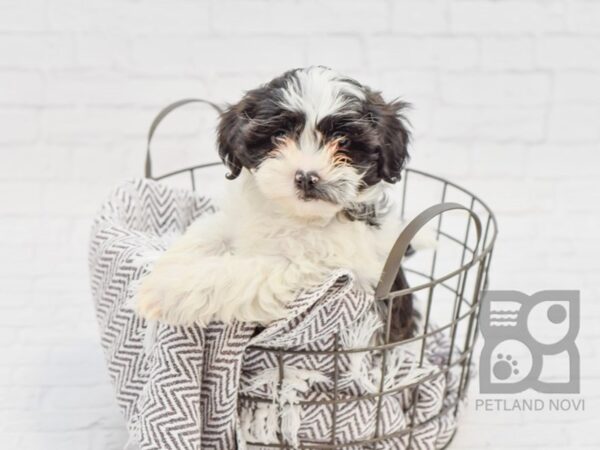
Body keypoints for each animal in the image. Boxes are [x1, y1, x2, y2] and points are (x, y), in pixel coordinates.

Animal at [136, 67, 414, 338]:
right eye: (279, 135)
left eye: (343, 141)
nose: (306, 177)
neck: (292, 215)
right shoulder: (235, 221)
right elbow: (207, 234)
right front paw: (163, 270)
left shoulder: (313, 269)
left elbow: (235, 273)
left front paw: (166, 291)